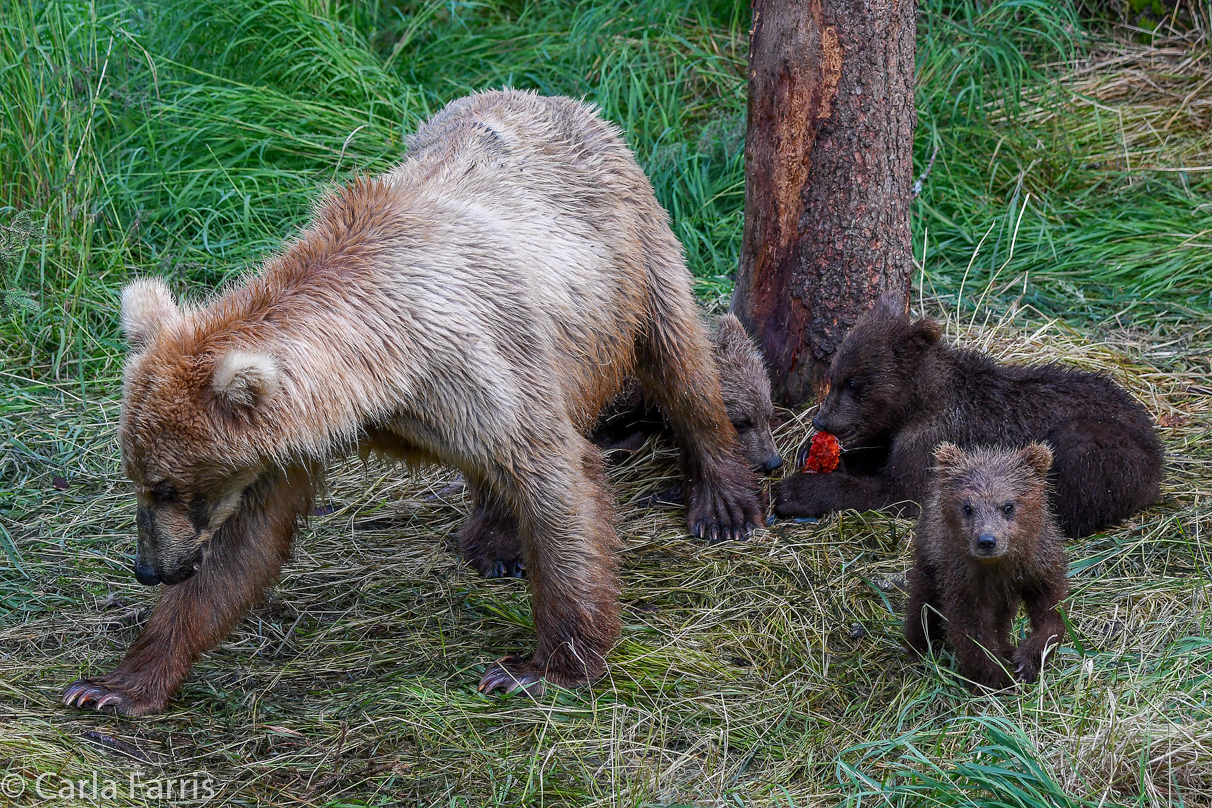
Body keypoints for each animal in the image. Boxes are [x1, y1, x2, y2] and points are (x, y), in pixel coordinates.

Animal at [61, 91, 756, 717]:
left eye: (168, 485)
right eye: (138, 478)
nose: (149, 568)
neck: (380, 367)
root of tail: (553, 96)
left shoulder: (474, 359)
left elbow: (555, 474)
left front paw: (541, 668)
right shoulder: (291, 442)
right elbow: (241, 547)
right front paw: (115, 685)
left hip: (631, 252)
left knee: (679, 357)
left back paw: (724, 501)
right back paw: (494, 539)